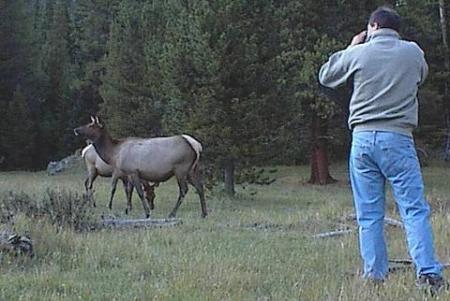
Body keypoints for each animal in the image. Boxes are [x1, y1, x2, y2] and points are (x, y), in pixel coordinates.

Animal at [74, 116, 207, 217]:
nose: (76, 129)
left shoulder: (132, 171)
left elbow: (138, 192)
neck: (114, 154)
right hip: (191, 170)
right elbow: (131, 191)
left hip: (181, 169)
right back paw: (204, 213)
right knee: (200, 187)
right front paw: (128, 209)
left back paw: (172, 213)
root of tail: (196, 145)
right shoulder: (128, 174)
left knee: (184, 190)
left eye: (91, 126)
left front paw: (147, 213)